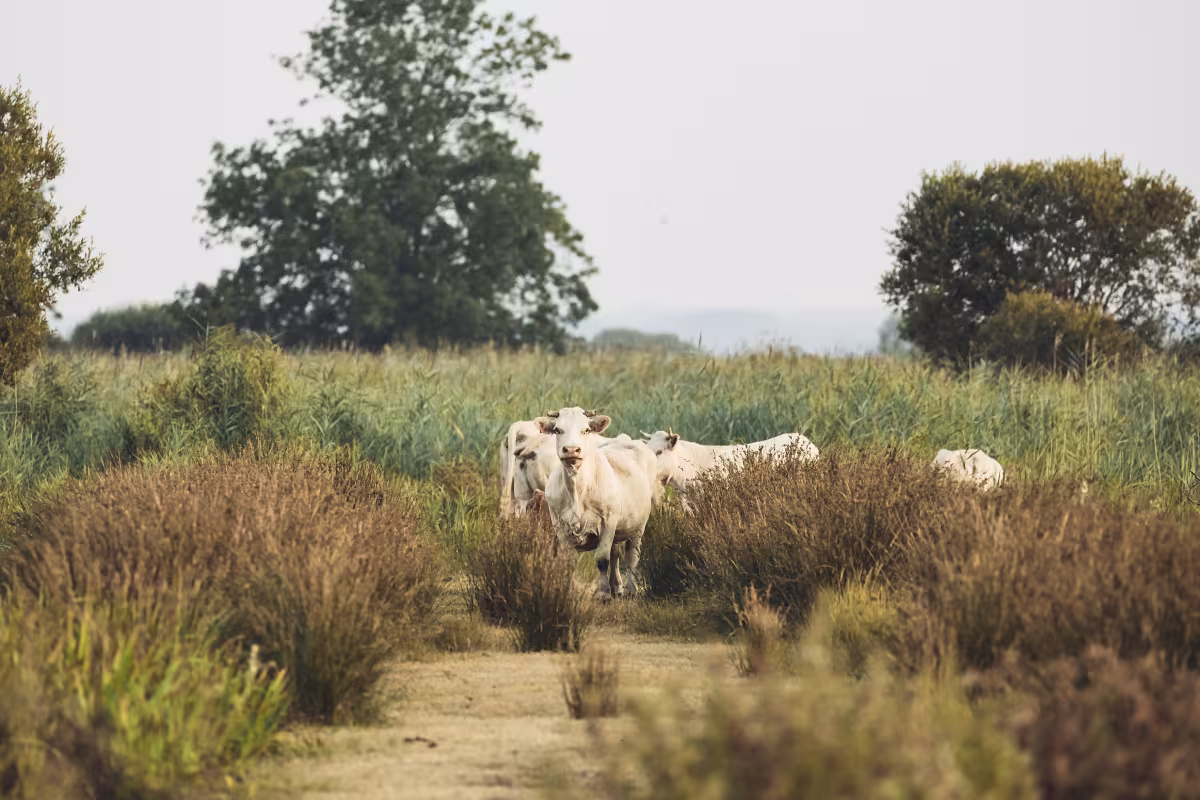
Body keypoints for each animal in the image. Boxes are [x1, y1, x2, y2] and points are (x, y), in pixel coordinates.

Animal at [535, 407, 659, 599]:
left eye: (585, 430)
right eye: (557, 430)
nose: (571, 449)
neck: (577, 491)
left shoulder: (608, 522)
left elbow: (602, 559)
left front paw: (603, 593)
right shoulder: (560, 526)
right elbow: (568, 562)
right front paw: (567, 592)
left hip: (637, 527)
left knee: (631, 556)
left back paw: (630, 589)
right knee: (616, 554)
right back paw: (616, 586)